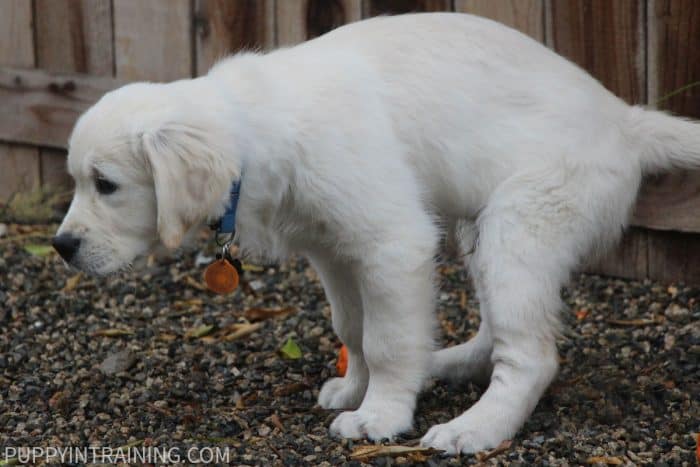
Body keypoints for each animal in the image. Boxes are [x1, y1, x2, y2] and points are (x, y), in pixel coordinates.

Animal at [54, 12, 700, 456]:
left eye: (105, 184)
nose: (61, 247)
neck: (254, 129)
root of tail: (625, 120)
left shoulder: (392, 244)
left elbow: (387, 341)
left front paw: (380, 416)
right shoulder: (333, 253)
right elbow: (354, 330)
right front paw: (355, 388)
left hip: (523, 221)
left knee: (531, 356)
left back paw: (475, 428)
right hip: (481, 231)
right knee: (494, 331)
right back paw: (444, 363)